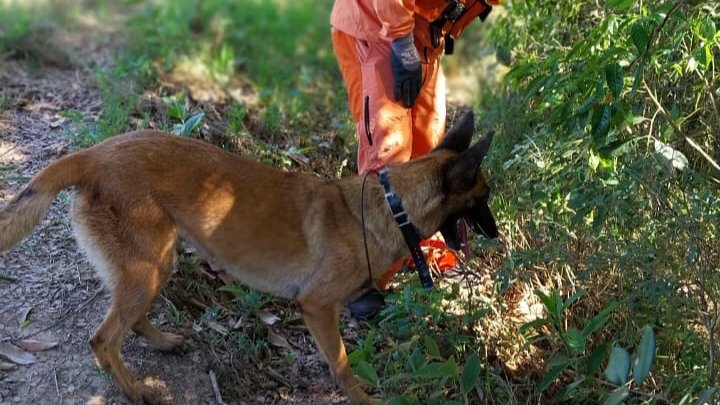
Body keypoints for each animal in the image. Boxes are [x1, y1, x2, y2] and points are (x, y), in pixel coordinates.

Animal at [0, 111, 497, 404]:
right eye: (484, 199)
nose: (497, 234)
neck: (390, 206)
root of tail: (91, 155)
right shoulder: (318, 307)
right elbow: (342, 365)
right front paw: (362, 398)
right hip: (148, 268)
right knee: (103, 341)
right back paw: (139, 391)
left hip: (156, 263)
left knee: (131, 321)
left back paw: (164, 343)